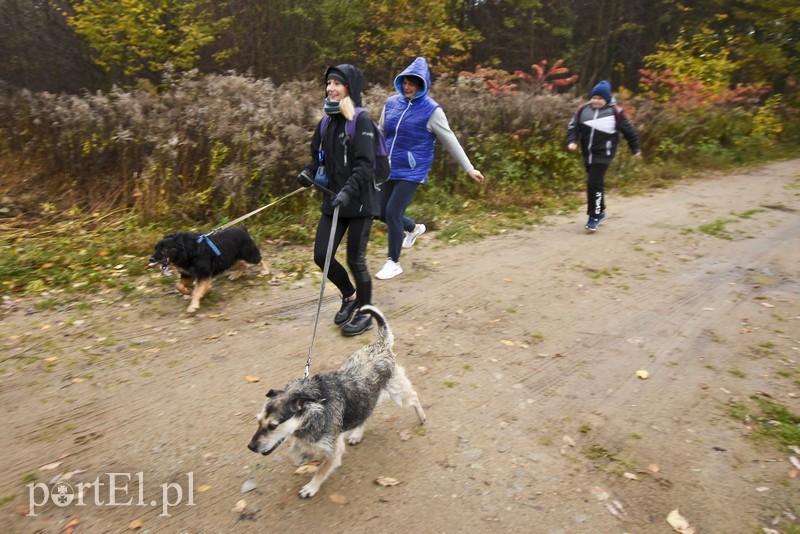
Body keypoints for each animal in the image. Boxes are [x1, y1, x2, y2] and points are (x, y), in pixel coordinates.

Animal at [248, 308, 424, 500]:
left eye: (273, 426)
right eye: (258, 421)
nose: (251, 447)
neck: (314, 404)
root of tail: (380, 345)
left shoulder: (333, 450)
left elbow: (321, 471)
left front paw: (311, 487)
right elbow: (293, 451)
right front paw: (303, 457)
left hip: (397, 392)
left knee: (414, 397)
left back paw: (422, 417)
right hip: (365, 397)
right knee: (365, 413)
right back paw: (357, 434)